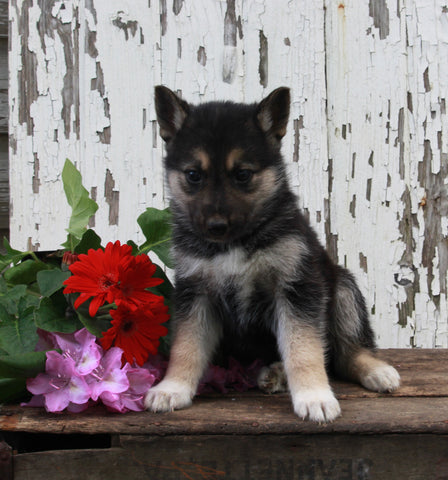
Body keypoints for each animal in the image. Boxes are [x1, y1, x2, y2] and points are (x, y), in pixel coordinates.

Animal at [145, 85, 400, 420]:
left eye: (243, 174)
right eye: (193, 175)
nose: (216, 226)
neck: (235, 243)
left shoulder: (297, 287)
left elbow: (303, 348)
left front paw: (314, 396)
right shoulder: (195, 293)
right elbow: (186, 347)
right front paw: (172, 388)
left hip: (344, 290)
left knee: (344, 353)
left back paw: (375, 371)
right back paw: (274, 373)